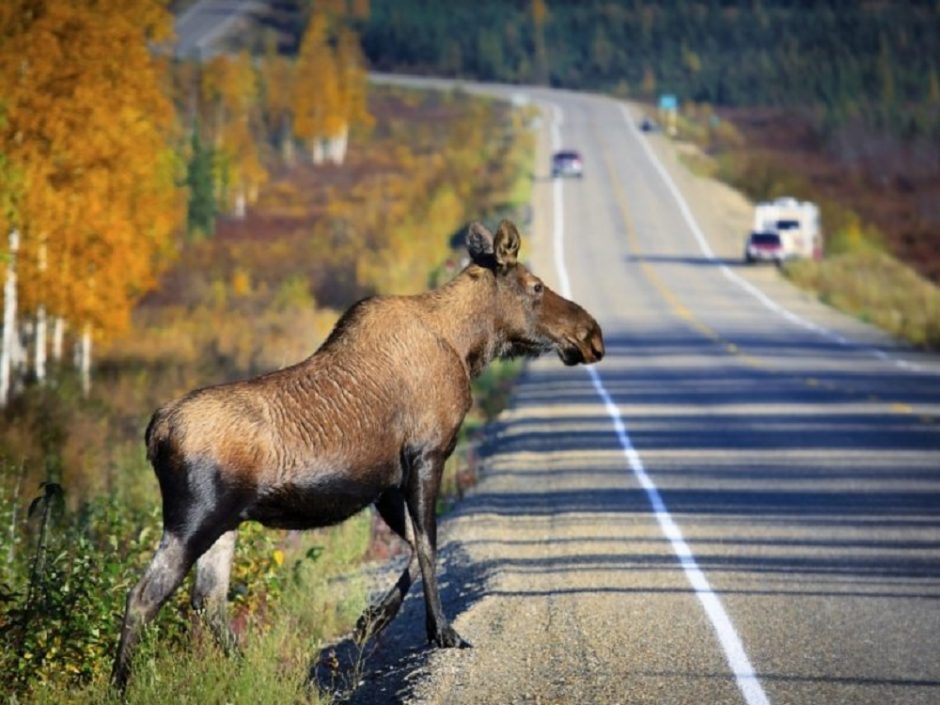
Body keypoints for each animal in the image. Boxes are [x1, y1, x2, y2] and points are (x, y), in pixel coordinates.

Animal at [110, 219, 604, 688]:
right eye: (535, 286)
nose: (592, 335)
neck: (467, 348)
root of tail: (155, 433)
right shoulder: (427, 454)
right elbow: (429, 544)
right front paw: (442, 632)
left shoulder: (386, 483)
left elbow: (416, 546)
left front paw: (371, 620)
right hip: (195, 518)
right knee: (143, 597)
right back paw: (120, 685)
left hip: (225, 523)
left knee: (208, 601)